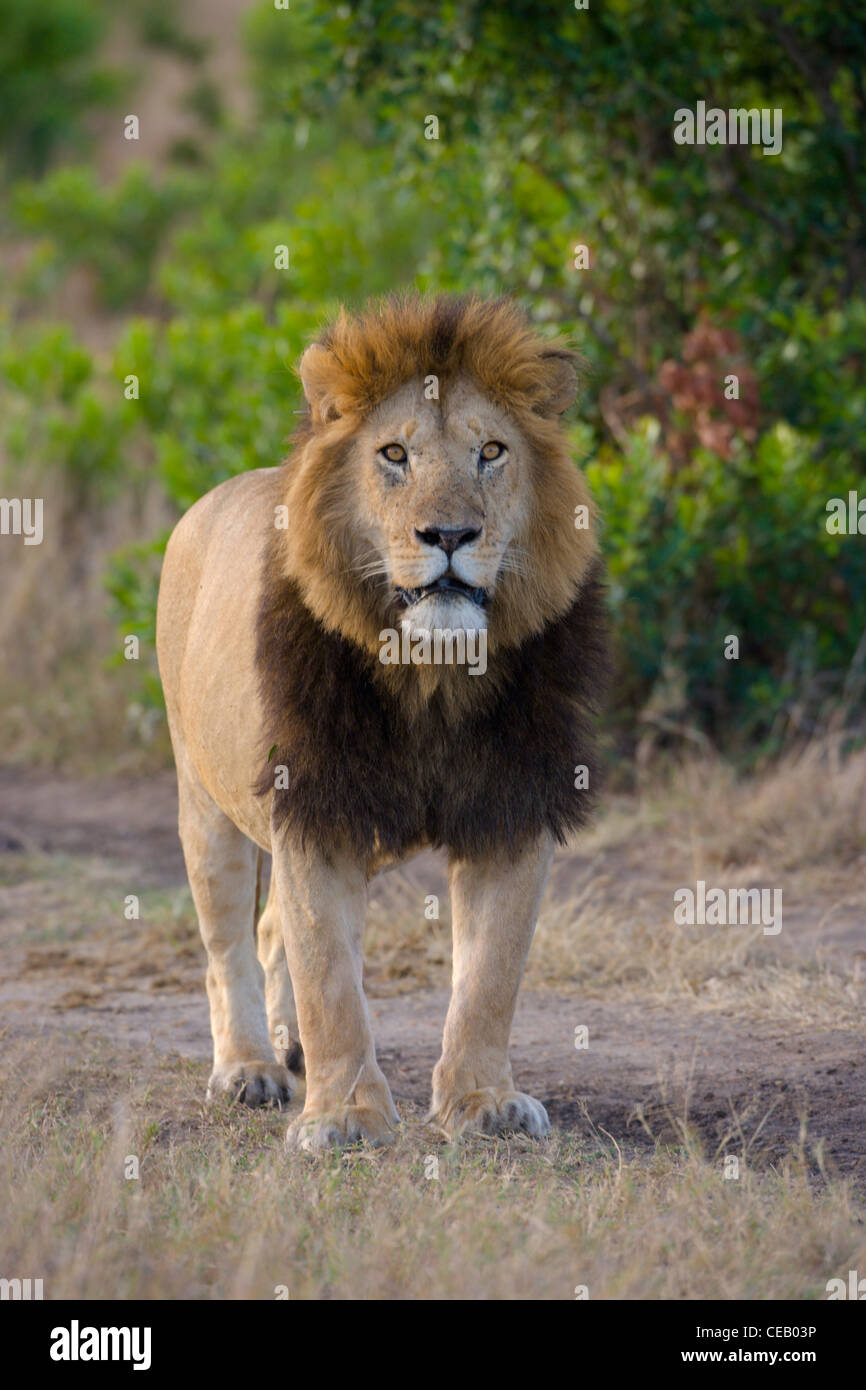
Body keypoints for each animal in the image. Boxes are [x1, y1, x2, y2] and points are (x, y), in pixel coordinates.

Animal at [156, 293, 608, 1153]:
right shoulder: (313, 809)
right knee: (227, 941)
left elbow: (490, 975)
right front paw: (345, 1117)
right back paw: (250, 1069)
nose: (450, 536)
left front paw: (483, 1102)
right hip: (205, 797)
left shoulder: (511, 810)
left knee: (273, 931)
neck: (429, 674)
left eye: (491, 452)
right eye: (394, 454)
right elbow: (329, 977)